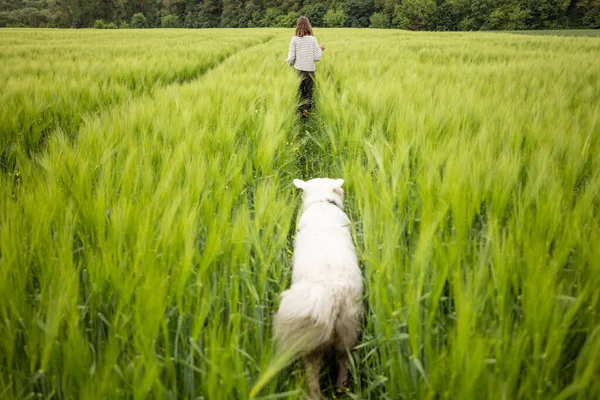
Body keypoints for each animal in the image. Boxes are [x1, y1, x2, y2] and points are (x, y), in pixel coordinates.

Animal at [274, 179, 364, 400]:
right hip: (348, 330)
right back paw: (341, 388)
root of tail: (330, 292)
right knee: (343, 361)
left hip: (312, 340)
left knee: (312, 371)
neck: (323, 203)